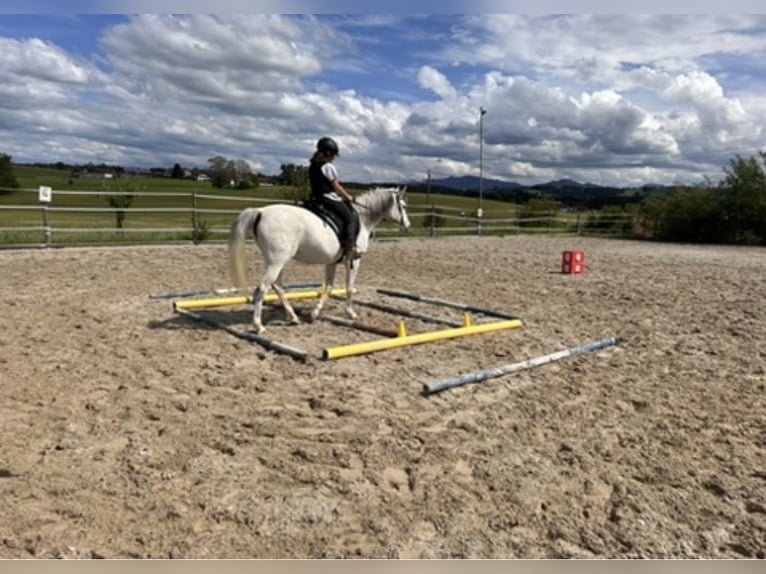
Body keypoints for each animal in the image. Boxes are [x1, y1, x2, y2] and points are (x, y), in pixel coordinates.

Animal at [228, 186, 411, 333]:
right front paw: (351, 313)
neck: (363, 218)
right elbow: (349, 287)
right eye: (403, 206)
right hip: (277, 262)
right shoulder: (354, 261)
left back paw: (293, 317)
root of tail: (260, 212)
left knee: (277, 287)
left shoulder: (331, 262)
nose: (408, 226)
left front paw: (314, 313)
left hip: (276, 262)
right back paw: (259, 326)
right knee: (262, 289)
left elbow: (328, 287)